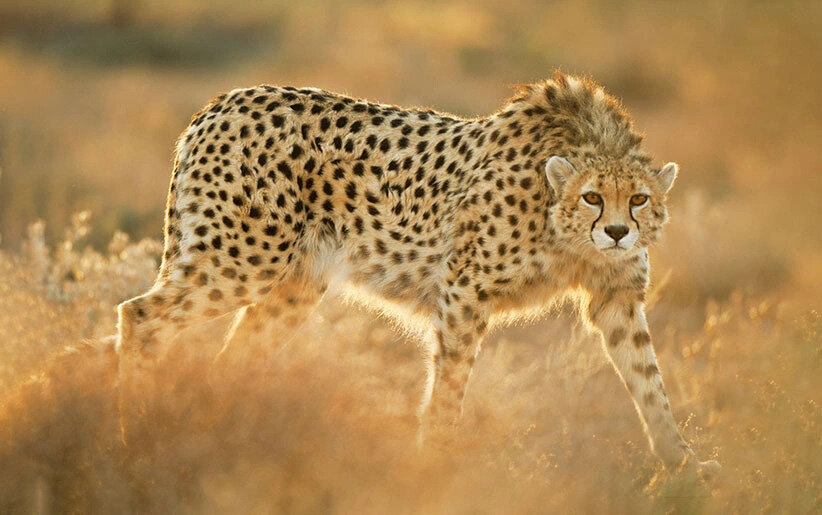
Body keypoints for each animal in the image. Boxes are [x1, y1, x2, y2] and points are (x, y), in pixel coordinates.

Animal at [116, 71, 719, 475]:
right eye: (592, 196)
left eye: (639, 200)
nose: (616, 232)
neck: (563, 229)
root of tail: (222, 101)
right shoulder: (464, 290)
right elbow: (449, 384)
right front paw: (438, 462)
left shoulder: (616, 299)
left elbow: (649, 381)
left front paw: (683, 463)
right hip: (241, 259)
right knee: (138, 314)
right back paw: (138, 432)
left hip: (292, 286)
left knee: (230, 357)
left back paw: (228, 439)